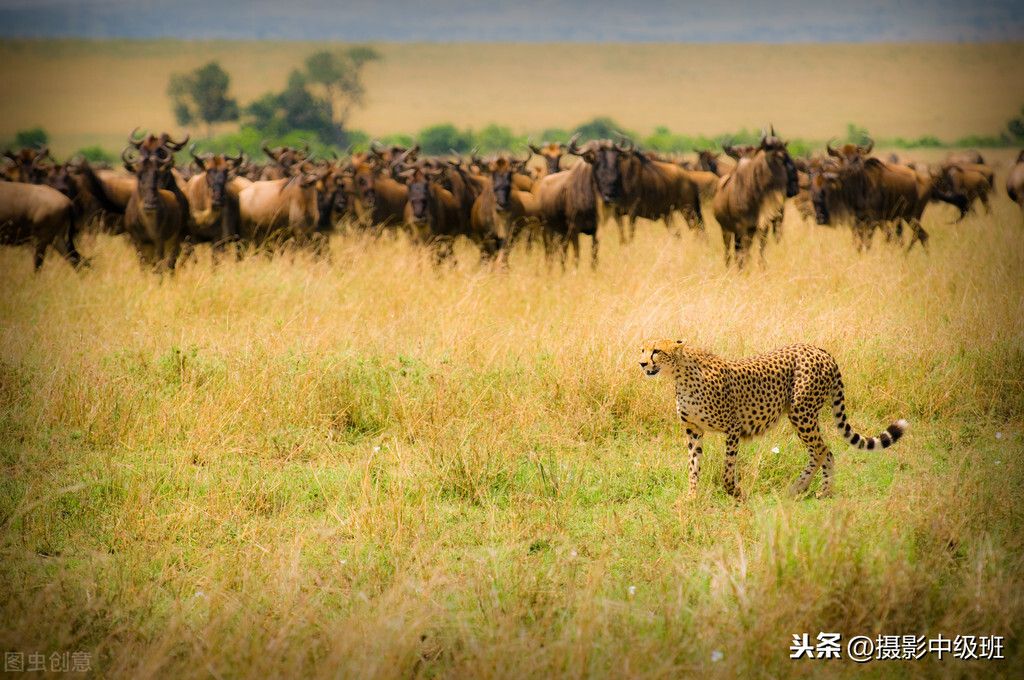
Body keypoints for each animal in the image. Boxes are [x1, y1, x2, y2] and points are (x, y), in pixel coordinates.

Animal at [634, 342, 909, 497]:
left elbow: (728, 465)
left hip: (801, 412)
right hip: (804, 414)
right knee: (825, 451)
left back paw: (801, 488)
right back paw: (824, 490)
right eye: (643, 349)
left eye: (656, 351)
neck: (680, 374)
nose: (641, 363)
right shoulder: (693, 430)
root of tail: (819, 349)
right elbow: (693, 465)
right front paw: (691, 497)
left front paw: (732, 491)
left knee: (820, 449)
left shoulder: (733, 427)